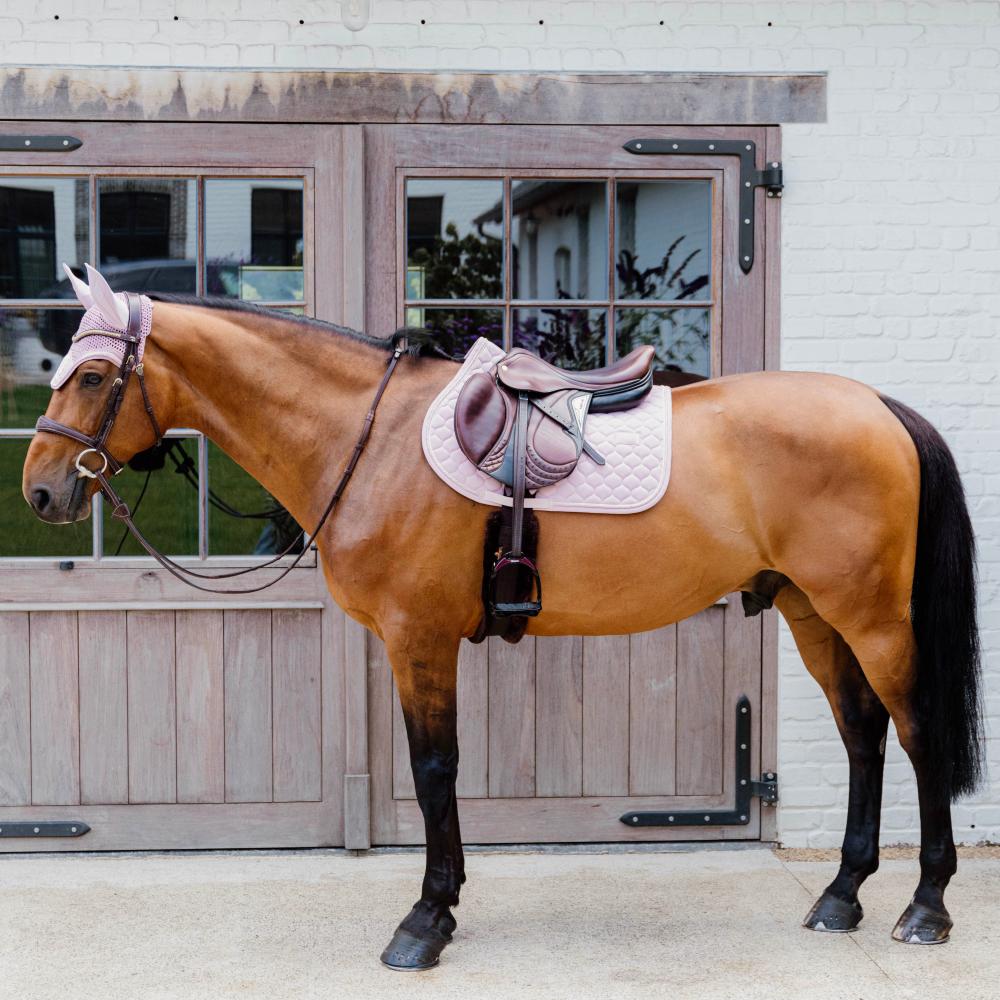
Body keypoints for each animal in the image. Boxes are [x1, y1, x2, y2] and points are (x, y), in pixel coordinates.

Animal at [22, 265, 982, 969]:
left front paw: (425, 920)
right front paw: (440, 908)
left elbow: (434, 771)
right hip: (812, 612)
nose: (40, 491)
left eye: (95, 375)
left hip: (871, 619)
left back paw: (927, 907)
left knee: (916, 735)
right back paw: (841, 896)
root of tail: (880, 409)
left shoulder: (418, 639)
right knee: (862, 735)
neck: (369, 438)